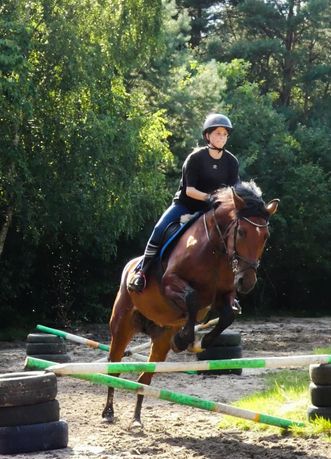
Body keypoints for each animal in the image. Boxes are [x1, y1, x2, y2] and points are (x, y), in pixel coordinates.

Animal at [102, 181, 278, 428]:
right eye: (242, 231)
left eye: (265, 236)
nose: (247, 281)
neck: (216, 249)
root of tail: (129, 265)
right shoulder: (170, 283)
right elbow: (191, 299)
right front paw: (185, 338)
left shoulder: (223, 295)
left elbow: (227, 315)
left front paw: (199, 342)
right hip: (122, 326)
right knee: (114, 368)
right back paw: (108, 412)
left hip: (160, 340)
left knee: (144, 379)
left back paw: (136, 419)